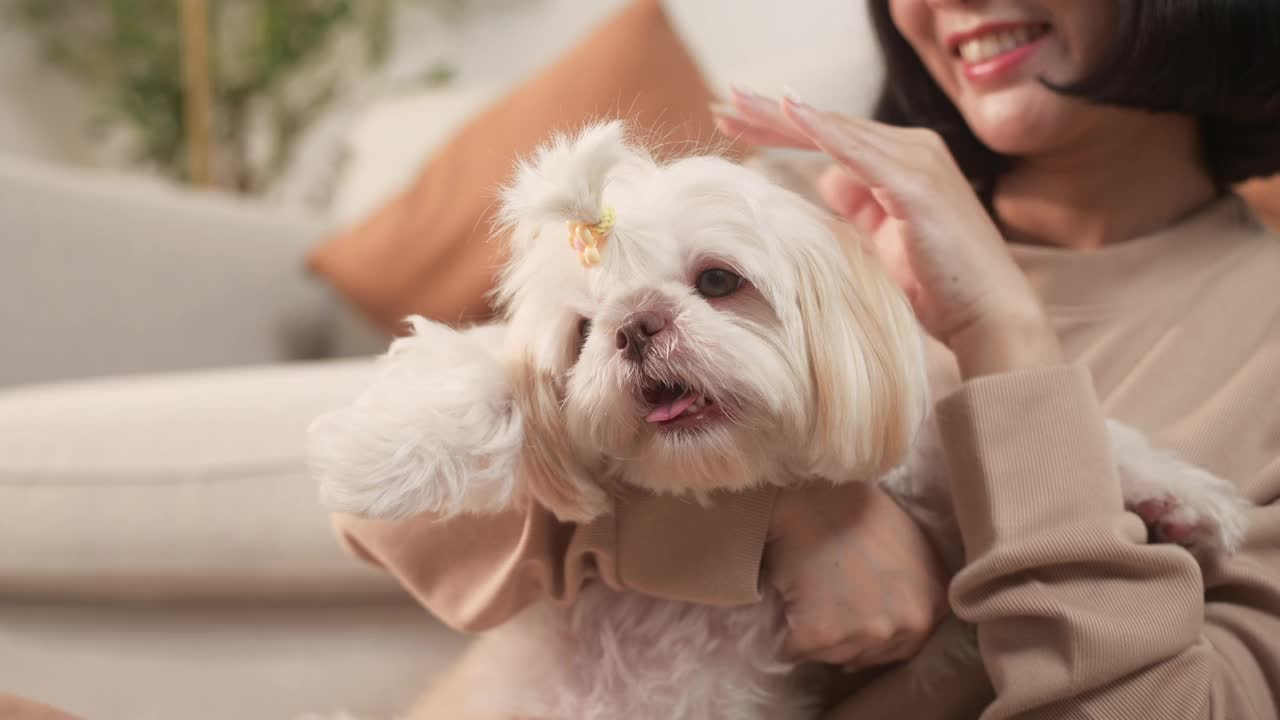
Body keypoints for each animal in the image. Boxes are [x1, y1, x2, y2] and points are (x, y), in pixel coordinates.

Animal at [309, 120, 1249, 712]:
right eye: (582, 333)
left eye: (719, 280)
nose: (635, 328)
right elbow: (484, 383)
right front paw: (382, 450)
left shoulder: (908, 467)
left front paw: (1181, 498)